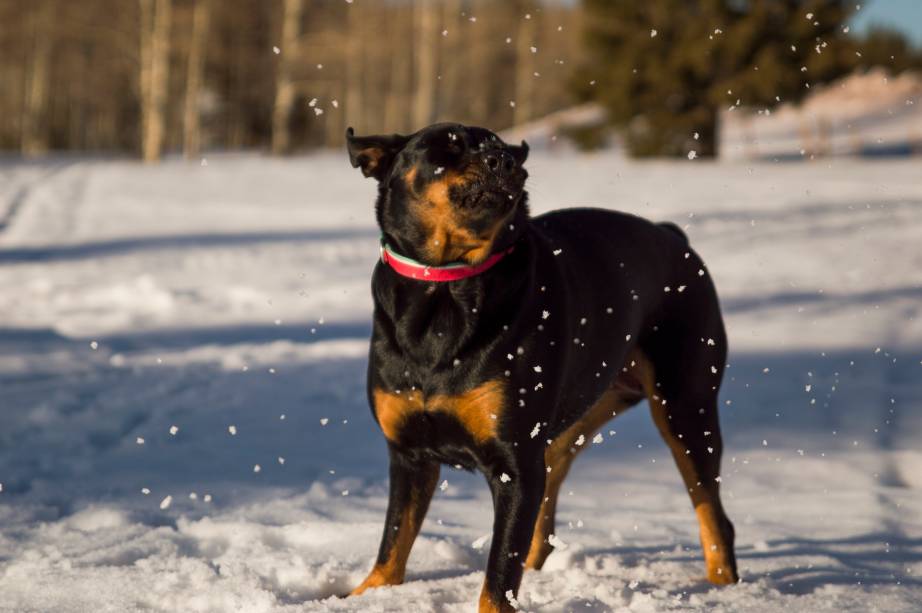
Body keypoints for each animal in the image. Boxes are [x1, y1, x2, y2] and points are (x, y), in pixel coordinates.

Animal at [342, 124, 736, 612]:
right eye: (447, 144)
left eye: (500, 146)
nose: (504, 161)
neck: (447, 288)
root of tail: (676, 239)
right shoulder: (409, 453)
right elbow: (395, 537)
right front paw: (368, 593)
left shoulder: (514, 463)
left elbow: (498, 572)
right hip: (579, 417)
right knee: (549, 501)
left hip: (684, 404)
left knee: (711, 510)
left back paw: (723, 586)